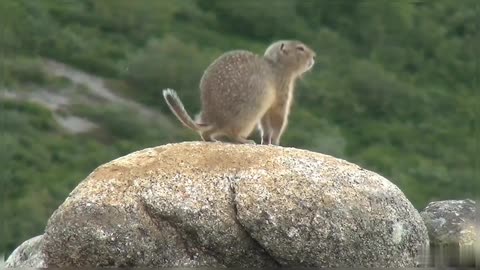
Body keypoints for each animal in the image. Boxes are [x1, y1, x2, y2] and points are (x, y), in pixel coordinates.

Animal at [163, 39, 316, 146]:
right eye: (300, 48)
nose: (314, 56)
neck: (276, 65)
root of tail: (214, 119)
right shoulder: (282, 92)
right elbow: (278, 119)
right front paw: (276, 142)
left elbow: (266, 123)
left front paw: (266, 141)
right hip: (249, 113)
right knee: (232, 133)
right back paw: (245, 140)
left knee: (206, 133)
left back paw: (213, 139)